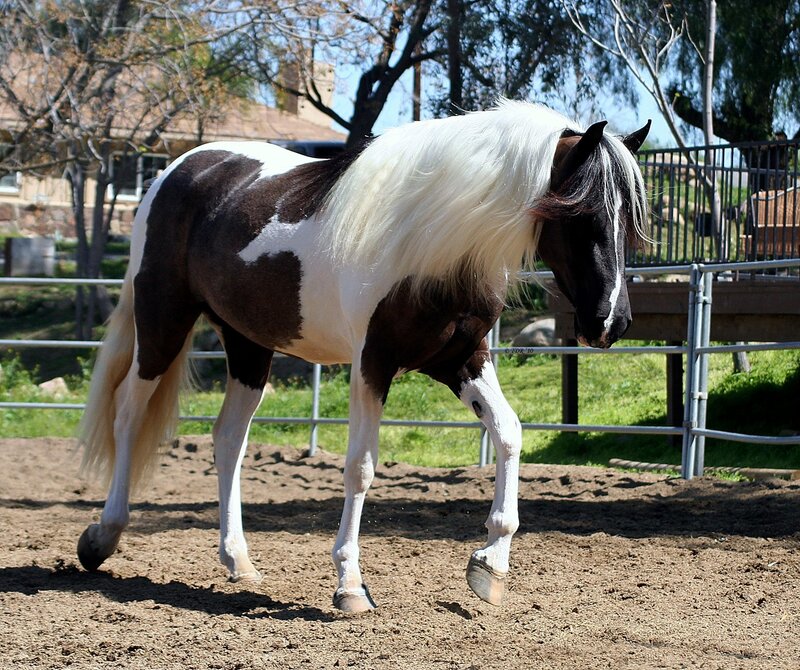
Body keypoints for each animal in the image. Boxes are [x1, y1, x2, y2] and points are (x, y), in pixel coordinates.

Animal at [76, 100, 650, 613]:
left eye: (630, 224)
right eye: (582, 215)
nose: (612, 323)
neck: (431, 241)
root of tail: (181, 168)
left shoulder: (461, 359)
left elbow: (508, 432)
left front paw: (489, 566)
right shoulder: (372, 363)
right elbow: (361, 467)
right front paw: (350, 585)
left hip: (248, 345)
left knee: (228, 440)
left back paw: (238, 560)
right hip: (162, 322)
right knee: (128, 415)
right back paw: (103, 536)